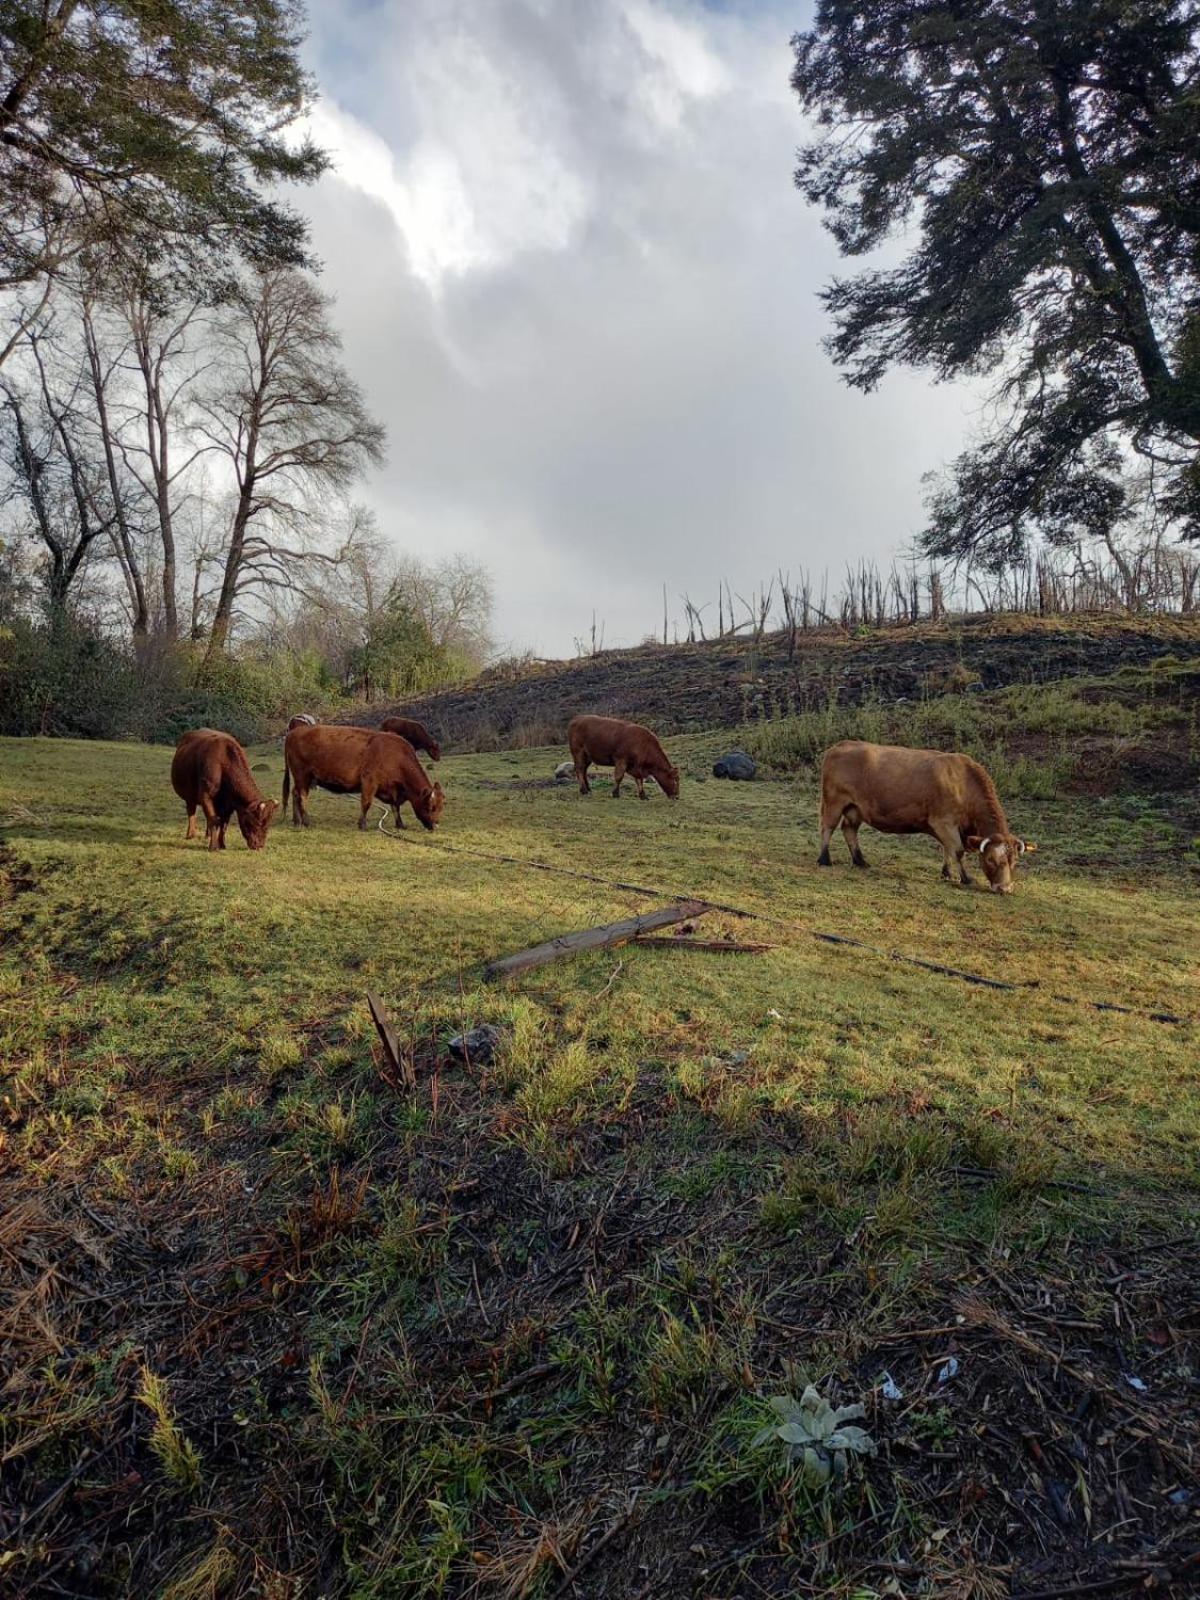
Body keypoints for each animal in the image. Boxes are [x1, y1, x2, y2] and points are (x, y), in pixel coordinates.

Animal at [283, 720, 448, 832]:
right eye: (431, 806)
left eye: (441, 806)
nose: (435, 825)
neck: (396, 755)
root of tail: (293, 733)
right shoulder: (369, 782)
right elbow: (366, 803)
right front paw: (362, 824)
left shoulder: (393, 789)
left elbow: (395, 807)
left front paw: (400, 824)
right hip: (303, 776)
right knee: (302, 796)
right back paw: (306, 821)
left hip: (302, 778)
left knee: (295, 794)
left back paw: (296, 821)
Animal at [825, 742, 1036, 896]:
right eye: (991, 859)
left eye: (1015, 861)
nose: (1004, 888)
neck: (964, 783)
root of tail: (841, 745)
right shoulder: (944, 822)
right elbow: (957, 850)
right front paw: (966, 878)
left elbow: (947, 849)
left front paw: (947, 873)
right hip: (833, 802)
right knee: (827, 827)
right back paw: (824, 859)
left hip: (855, 809)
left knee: (849, 829)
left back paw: (859, 861)